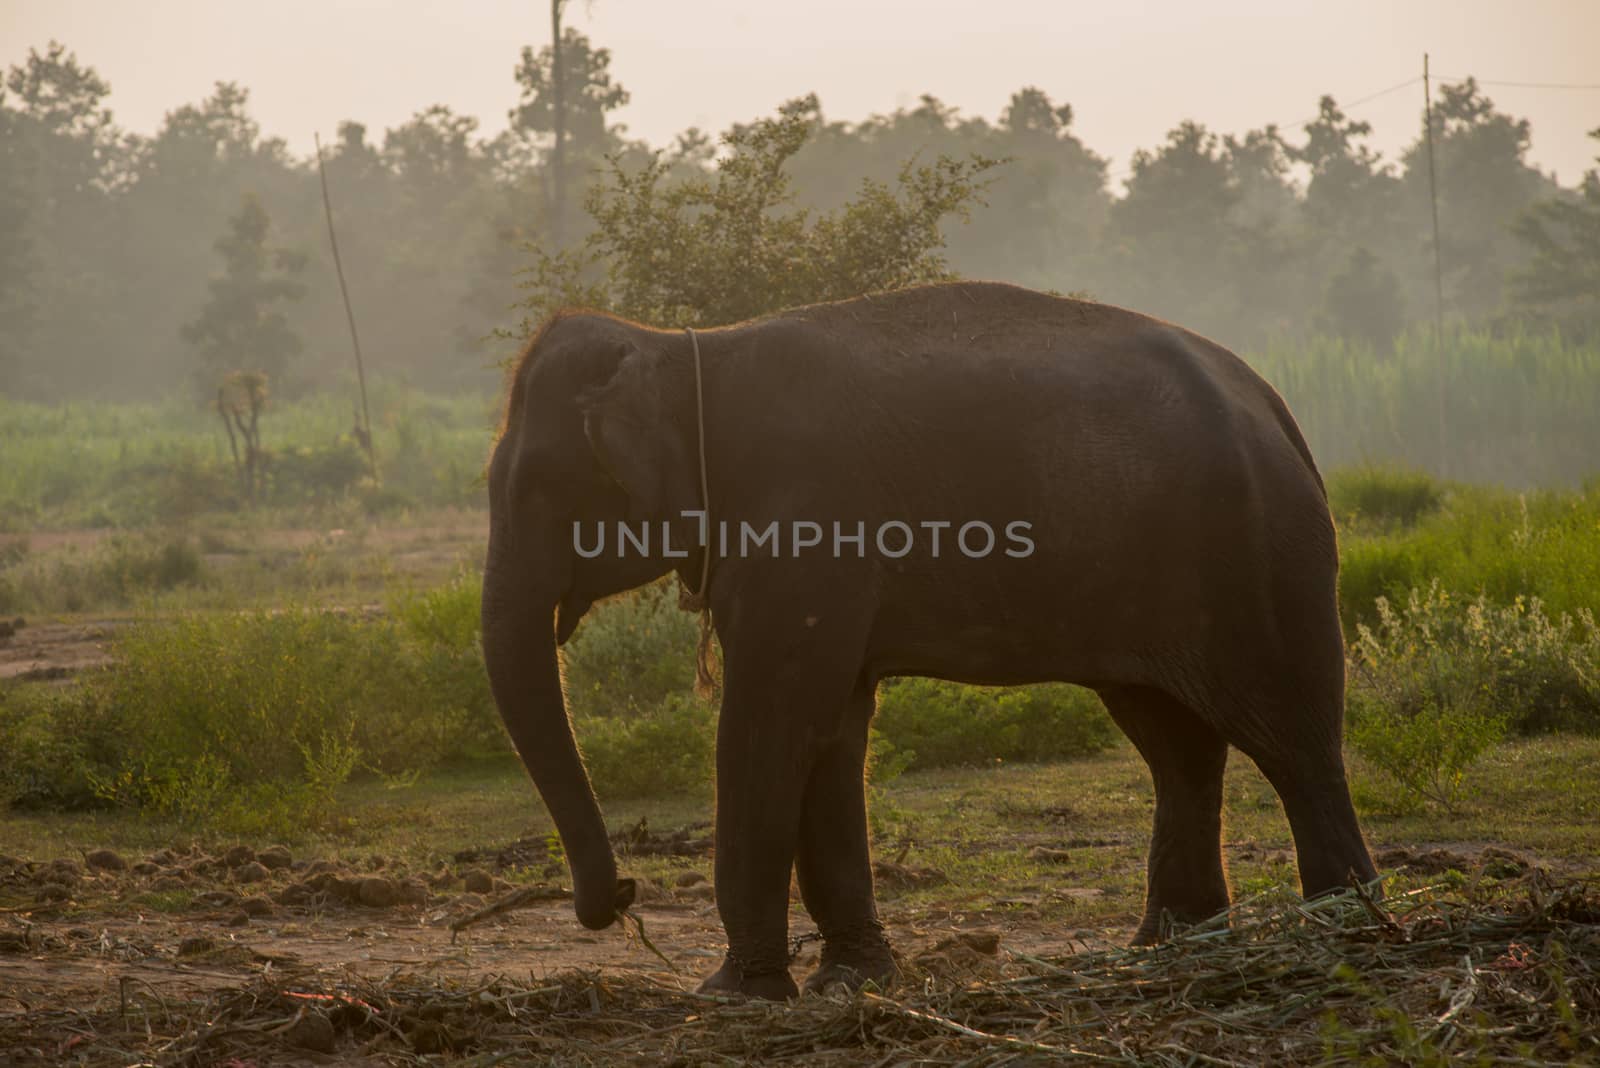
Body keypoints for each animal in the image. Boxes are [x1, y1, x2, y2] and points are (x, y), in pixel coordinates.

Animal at [480, 279, 1382, 997]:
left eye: (538, 486)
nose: (622, 894)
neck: (681, 349)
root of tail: (1273, 404)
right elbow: (831, 728)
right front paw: (852, 981)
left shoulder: (808, 529)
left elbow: (771, 722)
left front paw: (732, 995)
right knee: (1176, 744)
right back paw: (1169, 948)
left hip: (1256, 557)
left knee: (1292, 739)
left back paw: (1346, 930)